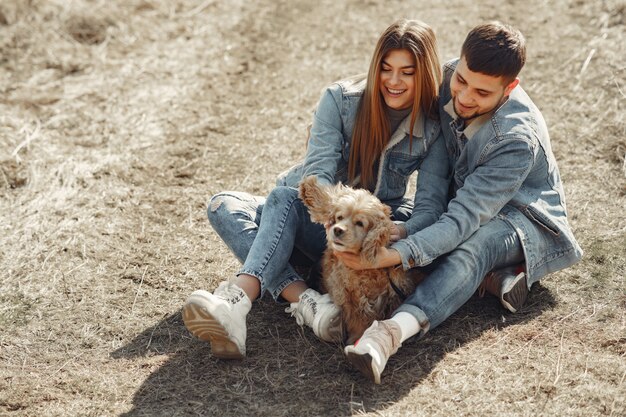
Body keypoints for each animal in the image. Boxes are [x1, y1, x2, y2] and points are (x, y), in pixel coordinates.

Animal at [298, 175, 424, 342]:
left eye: (359, 223)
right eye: (339, 217)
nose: (337, 230)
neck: (365, 273)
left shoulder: (395, 292)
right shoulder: (348, 298)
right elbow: (357, 322)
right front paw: (357, 339)